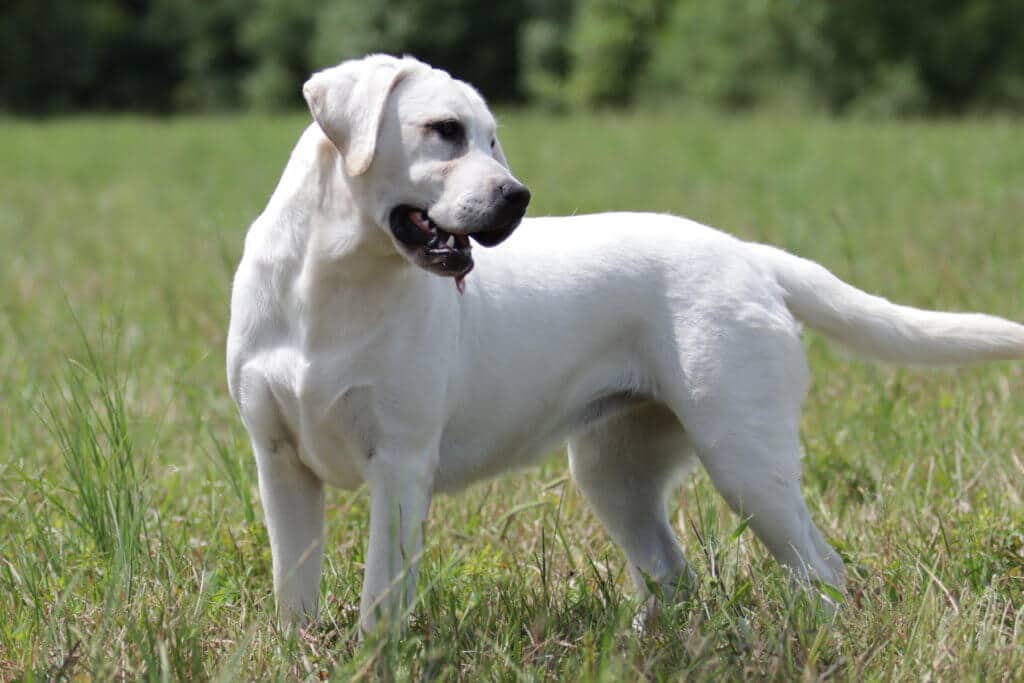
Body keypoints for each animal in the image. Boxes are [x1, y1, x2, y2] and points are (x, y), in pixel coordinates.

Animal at [228, 54, 1024, 634]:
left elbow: (380, 597)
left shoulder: (399, 461)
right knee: (673, 573)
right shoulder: (279, 460)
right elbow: (294, 583)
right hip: (614, 472)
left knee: (822, 569)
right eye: (444, 130)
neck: (331, 283)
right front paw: (298, 647)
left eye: (493, 139)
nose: (517, 196)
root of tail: (749, 253)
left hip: (746, 461)